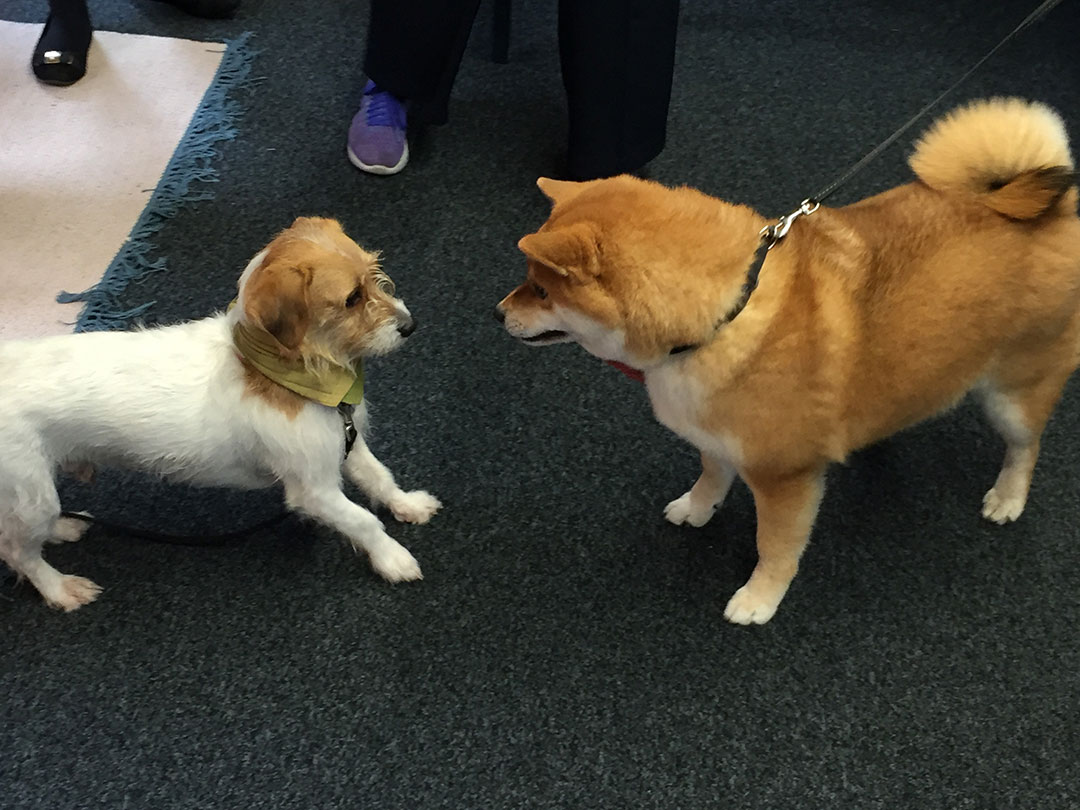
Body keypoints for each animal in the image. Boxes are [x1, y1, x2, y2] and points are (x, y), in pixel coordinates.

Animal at [0, 219, 440, 613]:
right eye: (351, 299)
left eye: (374, 272)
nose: (411, 326)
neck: (283, 371)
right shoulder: (314, 491)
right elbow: (363, 520)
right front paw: (393, 559)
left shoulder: (347, 442)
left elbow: (379, 478)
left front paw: (408, 505)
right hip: (31, 493)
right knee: (17, 552)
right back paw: (59, 588)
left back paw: (63, 527)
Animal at [501, 99, 1080, 626]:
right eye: (528, 283)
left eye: (541, 290)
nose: (498, 312)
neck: (726, 318)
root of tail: (1051, 208)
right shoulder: (716, 436)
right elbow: (711, 476)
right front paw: (698, 507)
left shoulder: (784, 477)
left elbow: (774, 546)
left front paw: (760, 598)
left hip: (1014, 394)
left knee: (1025, 447)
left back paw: (1008, 497)